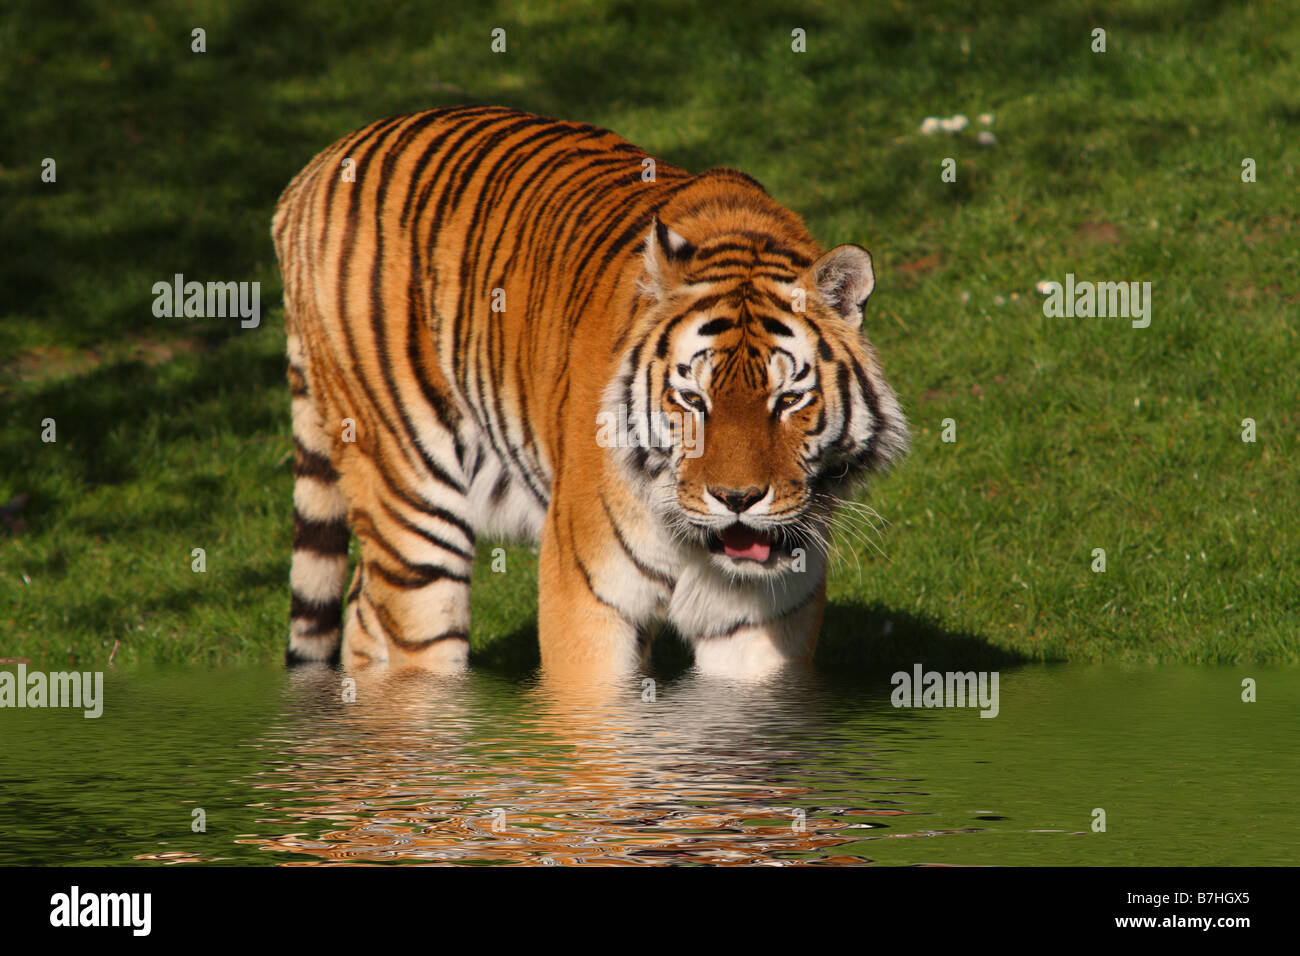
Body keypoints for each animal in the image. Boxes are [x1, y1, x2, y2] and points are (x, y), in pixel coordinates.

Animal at [271, 106, 904, 681]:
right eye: (692, 401)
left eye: (788, 401)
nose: (737, 499)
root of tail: (317, 168)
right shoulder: (589, 599)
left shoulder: (761, 623)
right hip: (409, 505)